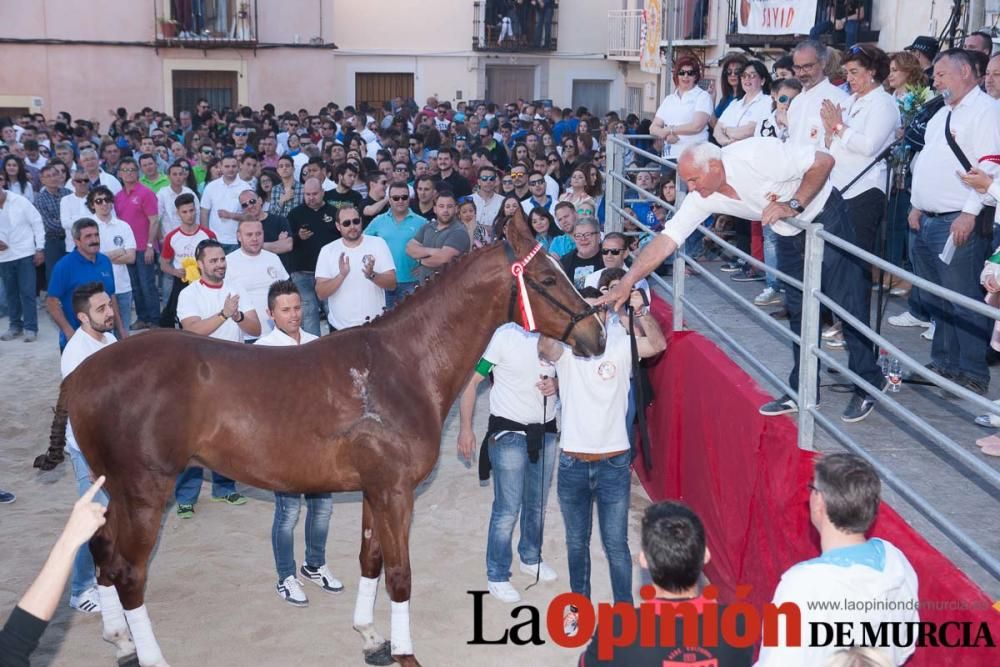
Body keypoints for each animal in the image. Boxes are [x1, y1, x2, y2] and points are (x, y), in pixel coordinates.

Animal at [37, 210, 600, 667]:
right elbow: (400, 574)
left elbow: (371, 560)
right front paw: (405, 653)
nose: (596, 335)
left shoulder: (375, 491)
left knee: (102, 551)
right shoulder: (396, 492)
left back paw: (121, 641)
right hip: (144, 493)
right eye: (547, 277)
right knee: (129, 572)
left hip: (114, 490)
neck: (402, 364)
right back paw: (148, 654)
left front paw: (370, 636)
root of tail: (82, 373)